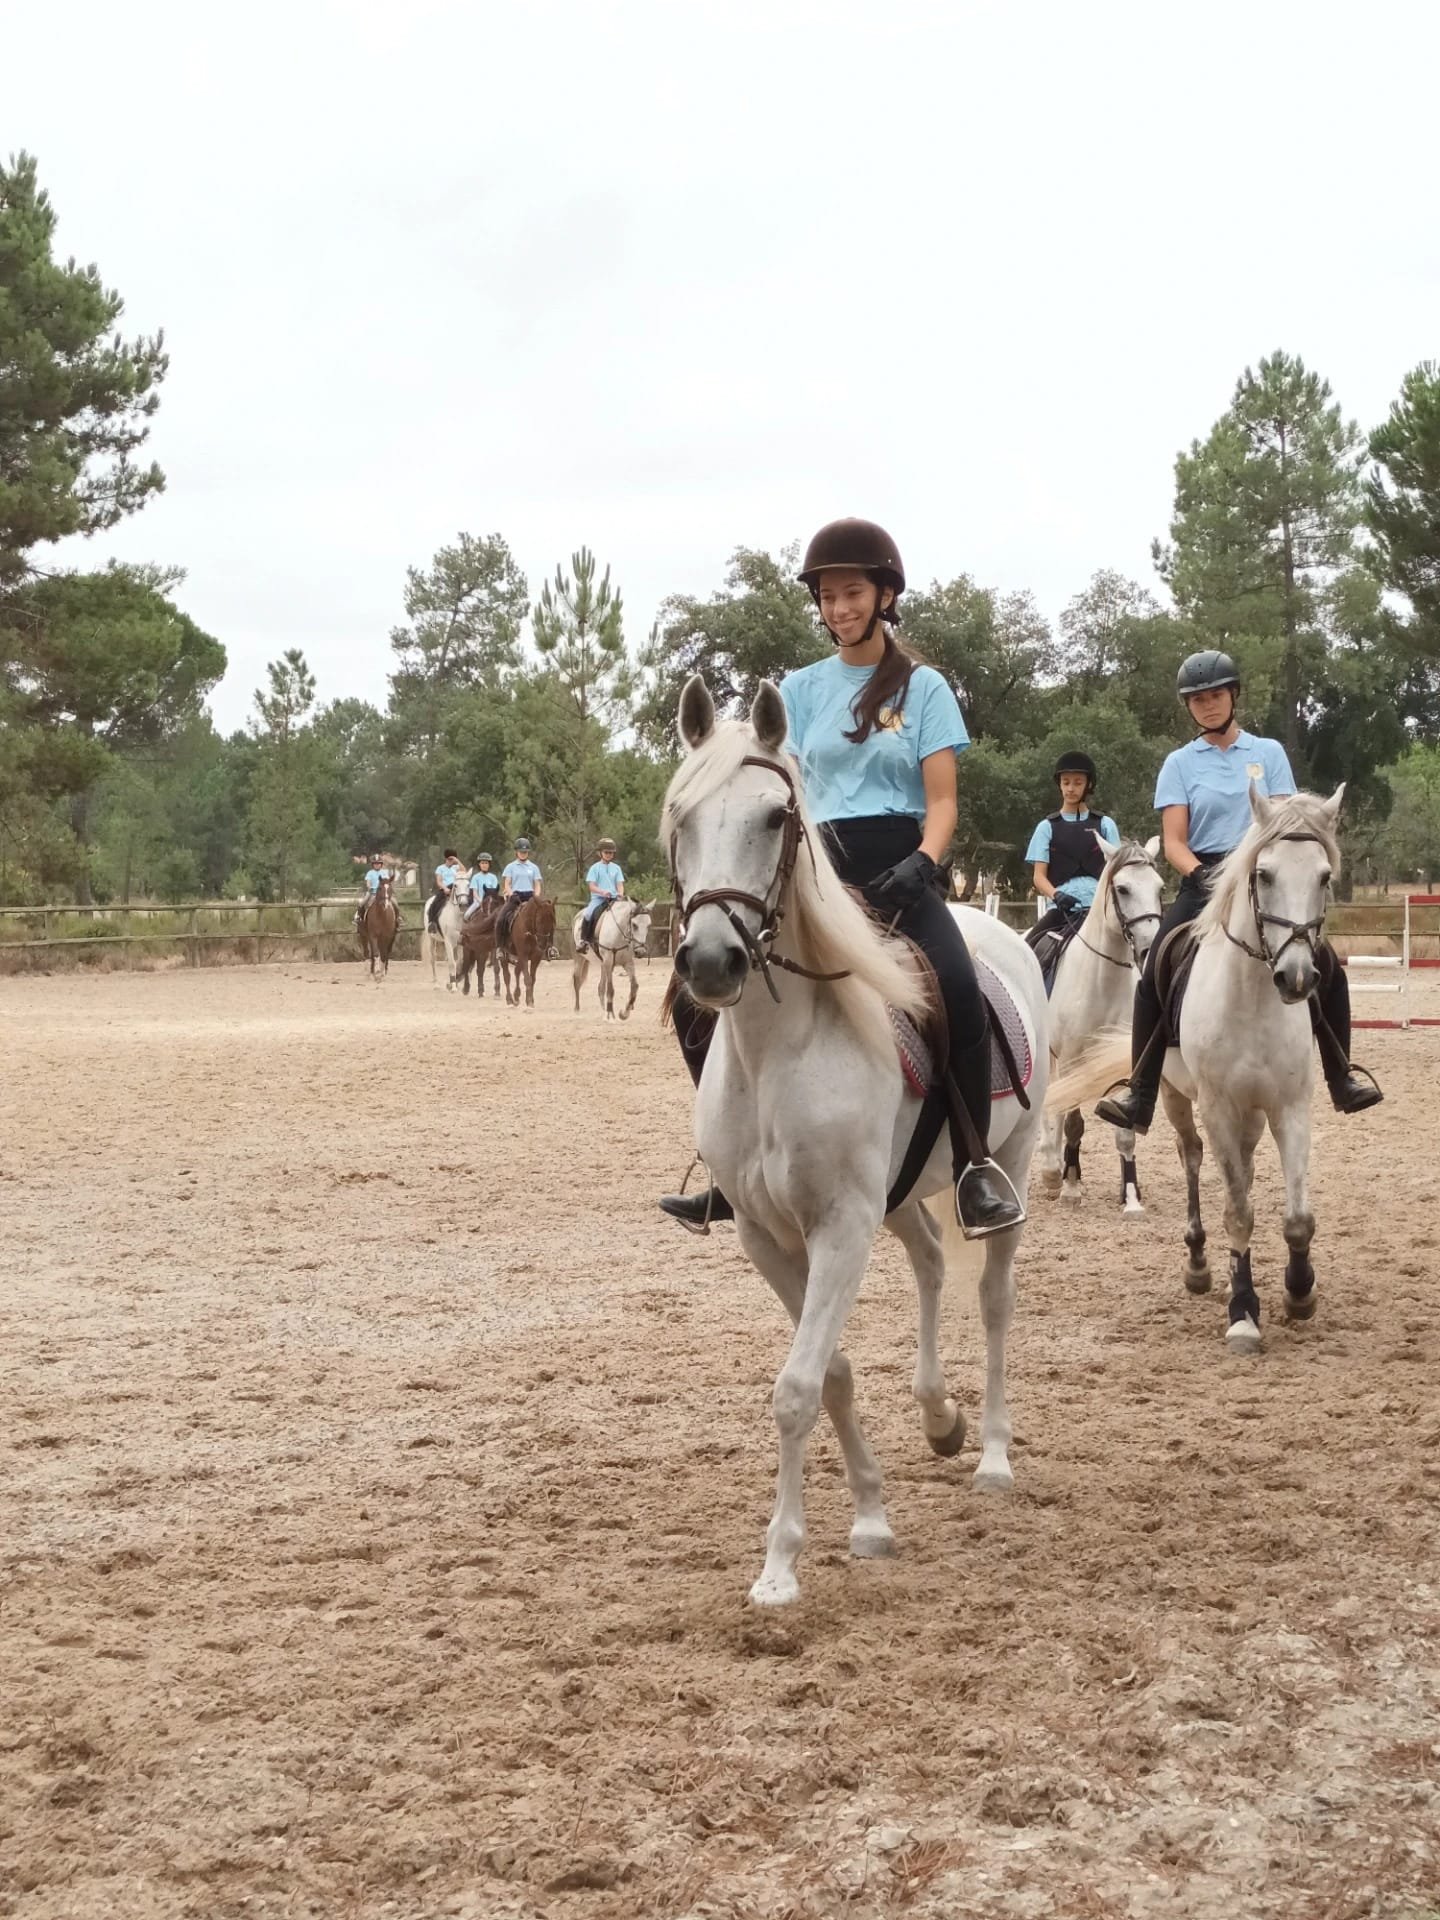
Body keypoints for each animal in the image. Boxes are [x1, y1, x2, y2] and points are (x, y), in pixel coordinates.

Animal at [663, 676, 1048, 1608]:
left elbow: (798, 1385)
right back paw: (940, 1416)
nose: (712, 962)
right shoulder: (769, 1234)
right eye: (681, 816)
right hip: (899, 1197)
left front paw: (779, 1567)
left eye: (775, 817)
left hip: (1012, 1167)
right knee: (933, 1263)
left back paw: (990, 1454)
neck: (779, 1051)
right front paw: (871, 1516)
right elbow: (831, 1370)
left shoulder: (840, 1225)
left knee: (994, 1297)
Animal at [1034, 838, 1164, 1213]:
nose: (1148, 950)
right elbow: (1074, 1123)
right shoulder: (1071, 1059)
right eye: (1122, 889)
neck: (1101, 981)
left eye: (1160, 888)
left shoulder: (1122, 1059)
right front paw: (1069, 1188)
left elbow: (1125, 1131)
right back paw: (1053, 1171)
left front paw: (1131, 1197)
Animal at [1051, 785, 1345, 1356]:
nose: (1297, 977)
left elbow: (1297, 1217)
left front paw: (1300, 1290)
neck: (1253, 998)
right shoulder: (1217, 1106)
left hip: (1252, 1114)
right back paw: (1197, 1261)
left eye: (1324, 876)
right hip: (1175, 1097)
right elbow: (1236, 1211)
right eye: (1263, 875)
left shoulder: (1290, 1106)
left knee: (1243, 1171)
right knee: (1189, 1157)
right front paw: (1243, 1313)